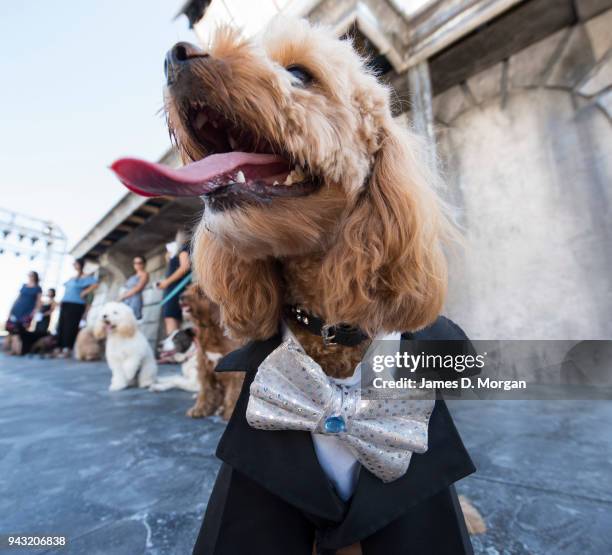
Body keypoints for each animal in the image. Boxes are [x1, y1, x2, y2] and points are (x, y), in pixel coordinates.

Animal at [179, 284, 241, 420]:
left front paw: (230, 412)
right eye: (187, 288)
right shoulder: (204, 368)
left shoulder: (235, 372)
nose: (181, 296)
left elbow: (233, 392)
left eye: (200, 292)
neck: (211, 329)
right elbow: (205, 391)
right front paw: (199, 409)